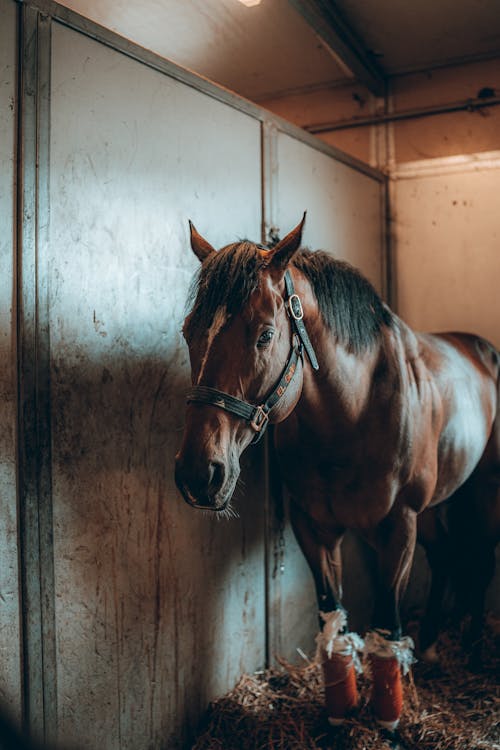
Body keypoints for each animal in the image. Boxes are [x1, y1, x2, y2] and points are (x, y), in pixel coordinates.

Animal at [175, 214, 500, 736]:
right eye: (189, 331)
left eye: (265, 335)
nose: (198, 474)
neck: (353, 410)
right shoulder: (314, 527)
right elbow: (333, 619)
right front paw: (337, 714)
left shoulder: (397, 527)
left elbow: (387, 625)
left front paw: (388, 723)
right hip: (435, 505)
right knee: (447, 557)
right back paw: (431, 646)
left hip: (483, 490)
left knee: (480, 560)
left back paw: (470, 651)